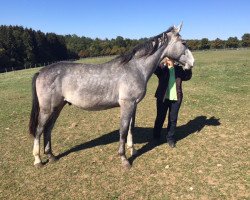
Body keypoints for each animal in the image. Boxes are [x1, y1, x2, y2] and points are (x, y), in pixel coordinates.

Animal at [28, 22, 193, 168]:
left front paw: (132, 150)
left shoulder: (133, 105)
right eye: (184, 42)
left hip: (57, 107)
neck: (135, 68)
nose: (192, 63)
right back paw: (37, 160)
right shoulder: (127, 104)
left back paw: (51, 156)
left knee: (48, 129)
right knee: (39, 130)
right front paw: (124, 159)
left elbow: (131, 128)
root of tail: (41, 71)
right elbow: (123, 130)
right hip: (47, 109)